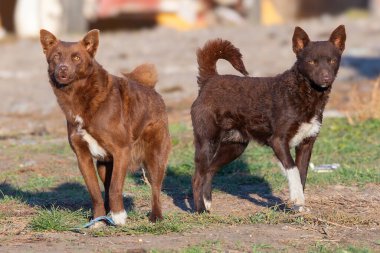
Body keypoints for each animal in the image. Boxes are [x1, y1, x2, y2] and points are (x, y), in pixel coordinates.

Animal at [39, 29, 171, 225]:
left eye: (76, 58)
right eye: (56, 56)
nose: (62, 68)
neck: (77, 95)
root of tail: (150, 89)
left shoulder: (122, 151)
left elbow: (115, 187)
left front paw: (119, 216)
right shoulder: (83, 157)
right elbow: (95, 192)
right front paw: (98, 220)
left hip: (155, 156)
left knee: (155, 187)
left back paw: (155, 216)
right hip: (104, 165)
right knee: (106, 186)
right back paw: (106, 214)